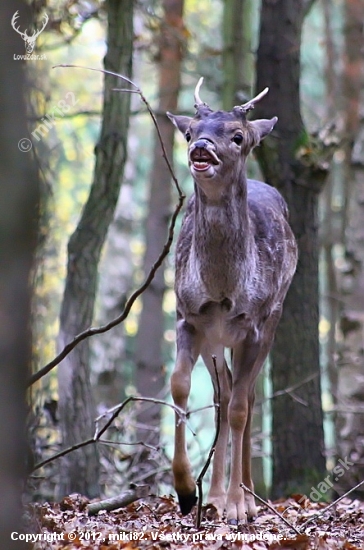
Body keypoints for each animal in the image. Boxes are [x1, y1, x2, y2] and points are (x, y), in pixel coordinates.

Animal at [168, 81, 298, 528]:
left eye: (237, 136)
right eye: (190, 132)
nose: (201, 148)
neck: (224, 290)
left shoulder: (254, 325)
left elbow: (243, 408)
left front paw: (240, 508)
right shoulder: (188, 317)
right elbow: (180, 386)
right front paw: (187, 491)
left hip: (273, 318)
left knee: (248, 398)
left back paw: (248, 500)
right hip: (215, 340)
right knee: (222, 397)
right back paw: (216, 497)